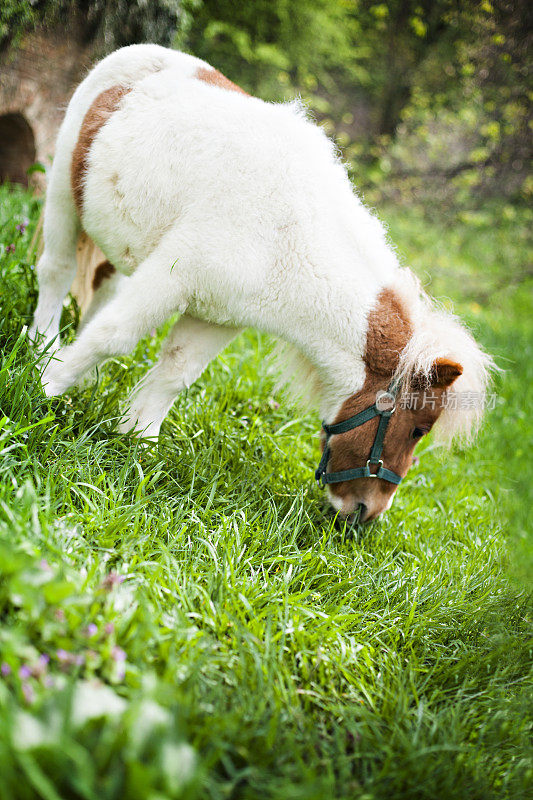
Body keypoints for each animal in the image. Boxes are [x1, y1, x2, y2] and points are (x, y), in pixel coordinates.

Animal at [31, 43, 492, 520]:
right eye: (419, 429)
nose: (367, 513)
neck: (288, 238)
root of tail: (140, 53)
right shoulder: (171, 277)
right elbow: (114, 336)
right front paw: (46, 389)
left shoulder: (218, 317)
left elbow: (176, 374)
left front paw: (136, 441)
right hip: (63, 196)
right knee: (57, 271)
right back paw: (42, 348)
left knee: (103, 287)